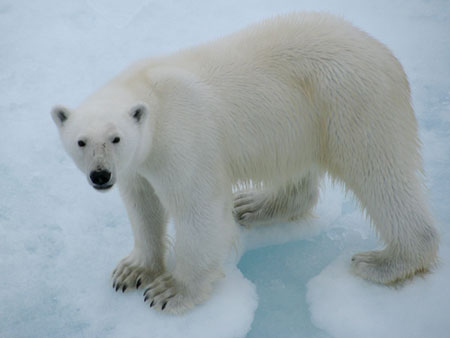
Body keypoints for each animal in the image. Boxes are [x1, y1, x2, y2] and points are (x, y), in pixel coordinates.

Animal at [50, 13, 440, 314]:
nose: (101, 175)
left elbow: (198, 208)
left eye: (115, 138)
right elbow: (142, 205)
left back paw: (385, 262)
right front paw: (131, 271)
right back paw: (253, 204)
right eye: (81, 142)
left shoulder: (181, 138)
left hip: (352, 106)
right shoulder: (136, 166)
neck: (150, 92)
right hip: (302, 123)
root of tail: (383, 52)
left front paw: (170, 291)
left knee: (381, 176)